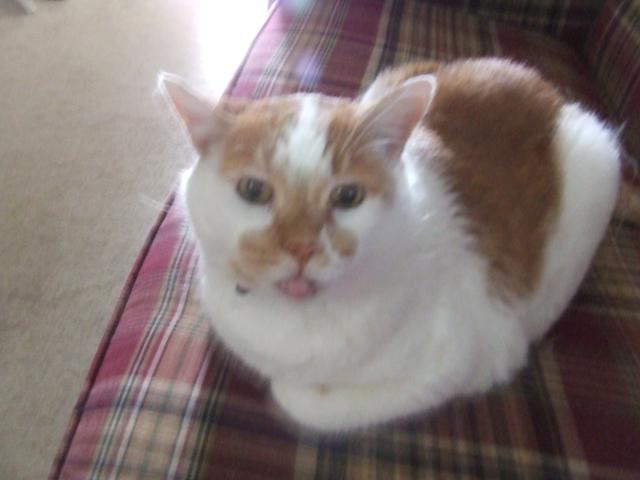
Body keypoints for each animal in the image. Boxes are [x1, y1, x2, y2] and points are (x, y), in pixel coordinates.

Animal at [161, 58, 621, 431]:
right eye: (253, 191)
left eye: (348, 197)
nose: (302, 248)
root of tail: (551, 93)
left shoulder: (470, 360)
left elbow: (301, 400)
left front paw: (289, 390)